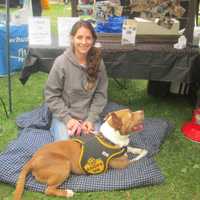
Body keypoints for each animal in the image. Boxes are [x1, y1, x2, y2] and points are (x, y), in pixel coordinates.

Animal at [13, 108, 147, 199]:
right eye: (130, 114)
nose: (142, 111)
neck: (108, 138)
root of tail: (33, 160)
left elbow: (131, 149)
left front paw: (138, 150)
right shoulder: (119, 164)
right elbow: (129, 160)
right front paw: (135, 156)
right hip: (64, 165)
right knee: (48, 189)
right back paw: (68, 192)